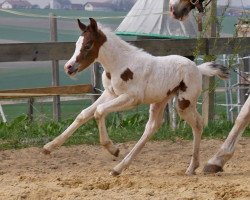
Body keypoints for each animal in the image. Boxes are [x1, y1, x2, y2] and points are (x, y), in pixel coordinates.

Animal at [42, 18, 229, 176]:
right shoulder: (110, 93)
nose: (69, 67)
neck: (120, 64)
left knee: (197, 124)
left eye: (88, 45)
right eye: (76, 44)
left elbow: (99, 112)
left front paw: (112, 148)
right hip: (160, 101)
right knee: (152, 127)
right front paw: (49, 147)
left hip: (184, 103)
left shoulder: (131, 99)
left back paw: (191, 167)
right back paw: (119, 168)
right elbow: (84, 114)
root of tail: (198, 68)